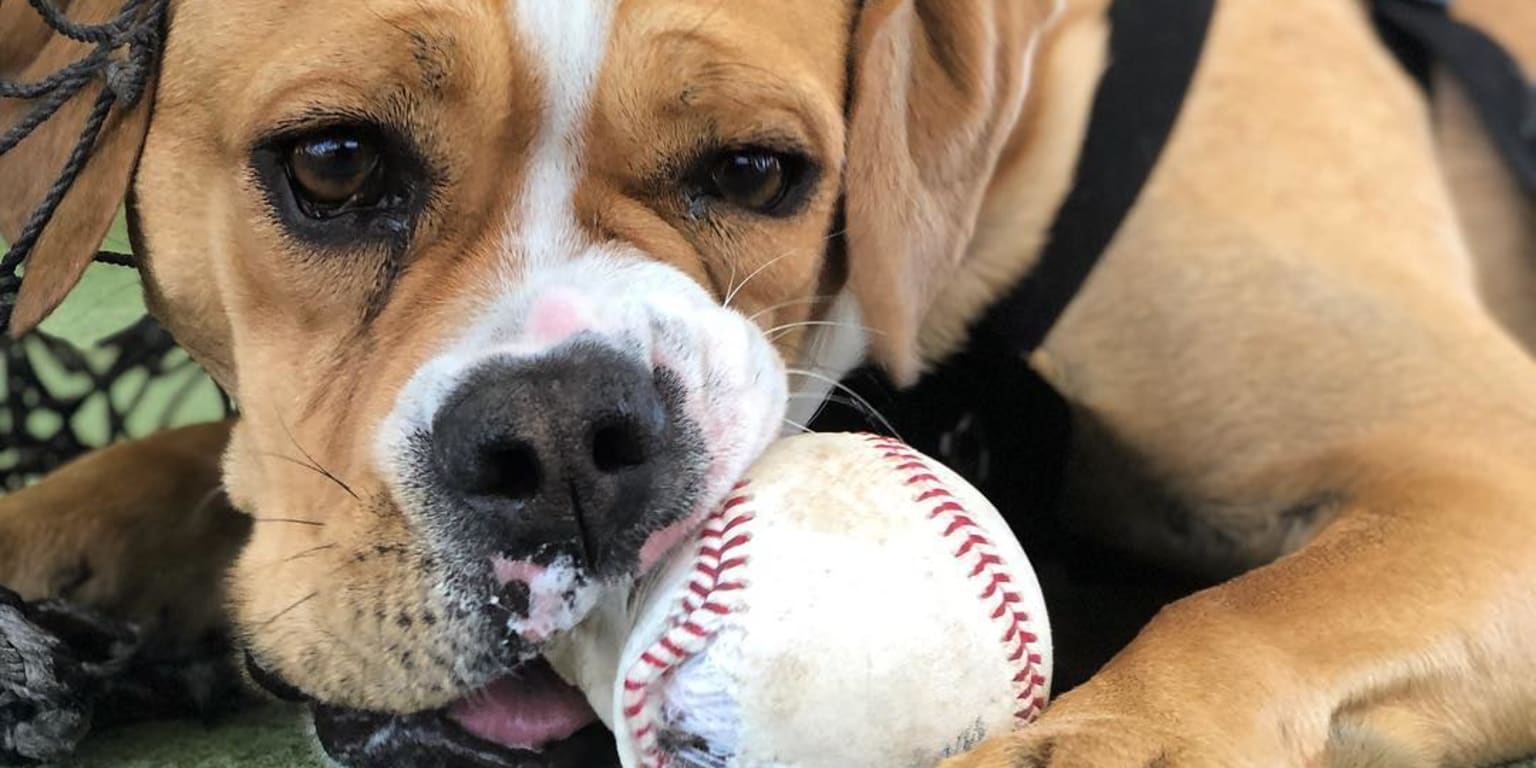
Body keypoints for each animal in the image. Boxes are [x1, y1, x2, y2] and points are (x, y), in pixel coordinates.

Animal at [3, 0, 1536, 764]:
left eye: (756, 173)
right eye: (332, 163)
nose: (569, 438)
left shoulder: (1469, 458)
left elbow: (1238, 620)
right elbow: (198, 472)